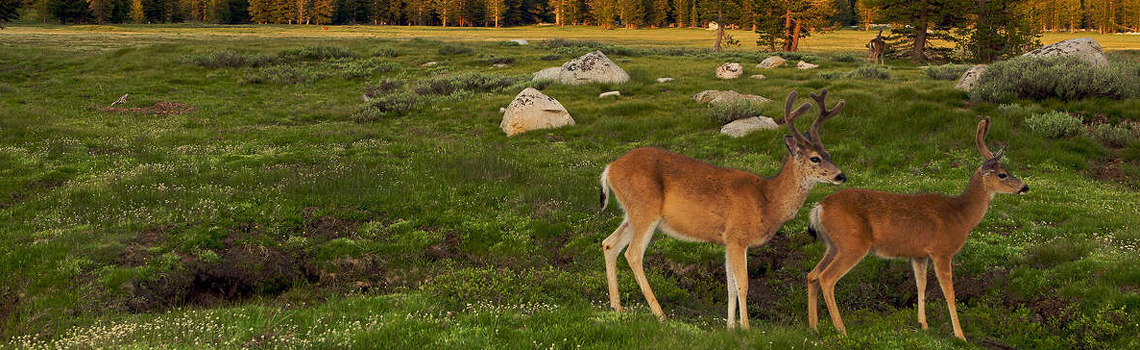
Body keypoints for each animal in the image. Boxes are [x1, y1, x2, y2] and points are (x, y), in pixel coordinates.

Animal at [597, 88, 848, 330]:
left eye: (828, 154)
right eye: (814, 158)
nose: (841, 176)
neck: (767, 200)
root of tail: (610, 168)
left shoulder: (728, 241)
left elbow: (730, 286)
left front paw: (730, 327)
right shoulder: (738, 237)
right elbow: (743, 284)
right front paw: (746, 328)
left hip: (632, 213)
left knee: (609, 244)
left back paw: (617, 308)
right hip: (645, 209)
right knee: (632, 254)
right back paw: (660, 315)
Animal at [807, 117, 1030, 339]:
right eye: (1002, 174)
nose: (1025, 187)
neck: (962, 215)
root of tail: (819, 207)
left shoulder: (919, 254)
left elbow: (921, 285)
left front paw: (923, 324)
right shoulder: (942, 251)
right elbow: (949, 292)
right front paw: (960, 335)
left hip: (833, 245)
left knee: (812, 275)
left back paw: (814, 327)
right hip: (852, 244)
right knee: (826, 278)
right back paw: (841, 329)